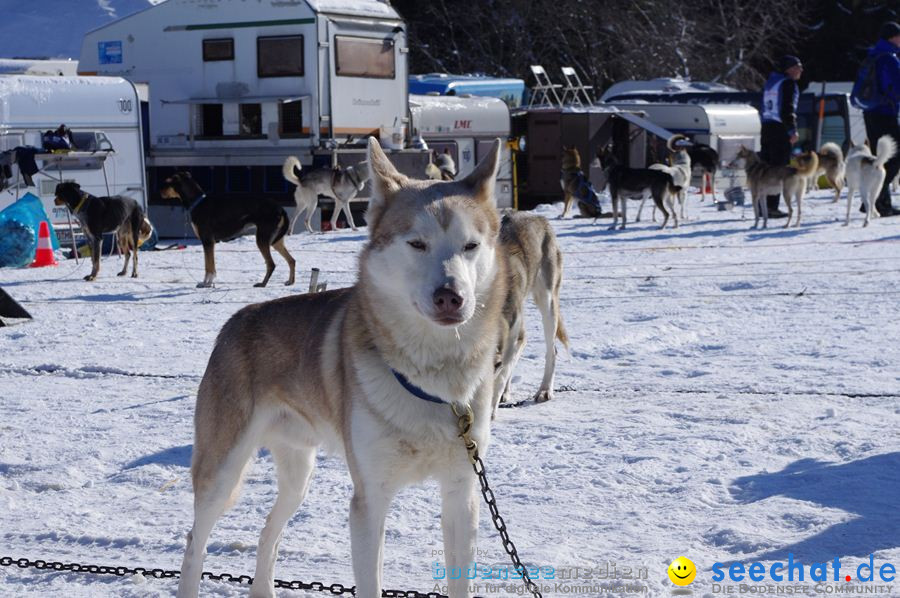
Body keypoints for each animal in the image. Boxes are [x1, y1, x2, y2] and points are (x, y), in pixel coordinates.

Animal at [178, 137, 506, 598]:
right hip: (221, 473)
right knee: (195, 544)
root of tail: (234, 322)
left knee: (267, 533)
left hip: (298, 477)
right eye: (416, 244)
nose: (450, 296)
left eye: (470, 246)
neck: (432, 377)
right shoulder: (369, 501)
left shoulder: (462, 496)